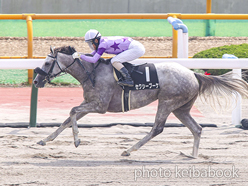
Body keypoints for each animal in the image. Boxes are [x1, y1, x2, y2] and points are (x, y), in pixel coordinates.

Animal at [33, 45, 248, 158]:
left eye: (47, 62)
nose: (35, 81)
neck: (91, 72)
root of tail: (194, 74)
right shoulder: (90, 103)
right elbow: (68, 118)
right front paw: (45, 139)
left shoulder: (100, 106)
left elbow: (72, 111)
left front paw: (77, 140)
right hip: (181, 108)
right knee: (197, 128)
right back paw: (192, 155)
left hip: (167, 102)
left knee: (157, 128)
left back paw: (129, 150)